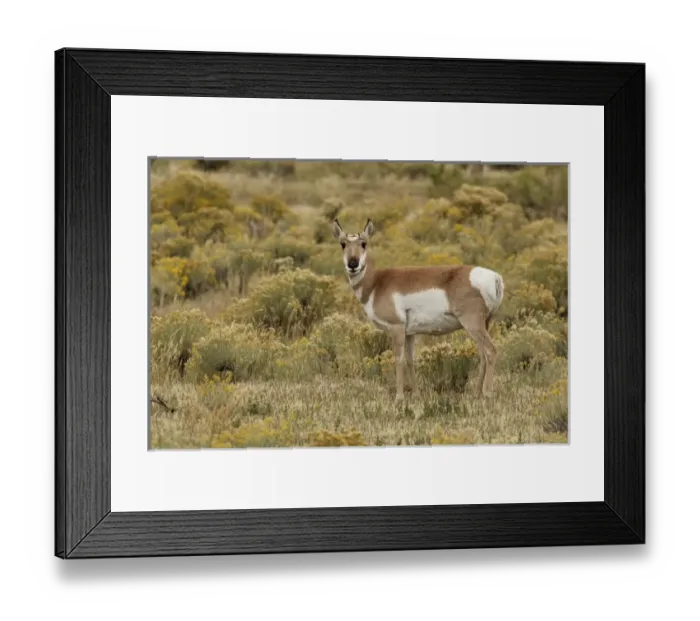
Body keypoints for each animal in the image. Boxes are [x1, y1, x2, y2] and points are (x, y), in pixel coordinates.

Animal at [332, 219, 504, 401]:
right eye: (343, 244)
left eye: (363, 243)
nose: (353, 264)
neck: (376, 283)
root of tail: (495, 277)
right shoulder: (410, 333)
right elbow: (410, 360)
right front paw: (415, 394)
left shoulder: (397, 328)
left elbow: (398, 360)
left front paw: (399, 397)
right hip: (483, 325)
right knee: (483, 355)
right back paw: (476, 393)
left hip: (473, 324)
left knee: (491, 351)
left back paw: (487, 393)